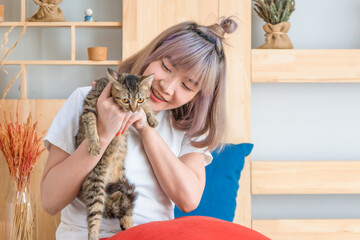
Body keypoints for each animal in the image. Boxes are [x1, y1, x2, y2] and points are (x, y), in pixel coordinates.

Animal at [75, 67, 158, 240]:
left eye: (139, 99)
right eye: (125, 100)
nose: (133, 109)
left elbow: (147, 105)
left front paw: (151, 117)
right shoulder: (89, 106)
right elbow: (91, 123)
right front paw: (94, 144)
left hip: (121, 178)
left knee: (124, 205)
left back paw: (129, 225)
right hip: (95, 186)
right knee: (94, 216)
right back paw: (94, 235)